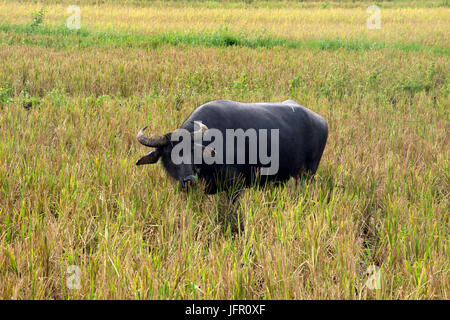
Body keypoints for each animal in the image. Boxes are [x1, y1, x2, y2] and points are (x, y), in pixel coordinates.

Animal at [135, 99, 328, 195]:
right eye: (168, 156)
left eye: (192, 153)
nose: (188, 180)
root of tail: (321, 120)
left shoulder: (235, 186)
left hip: (308, 174)